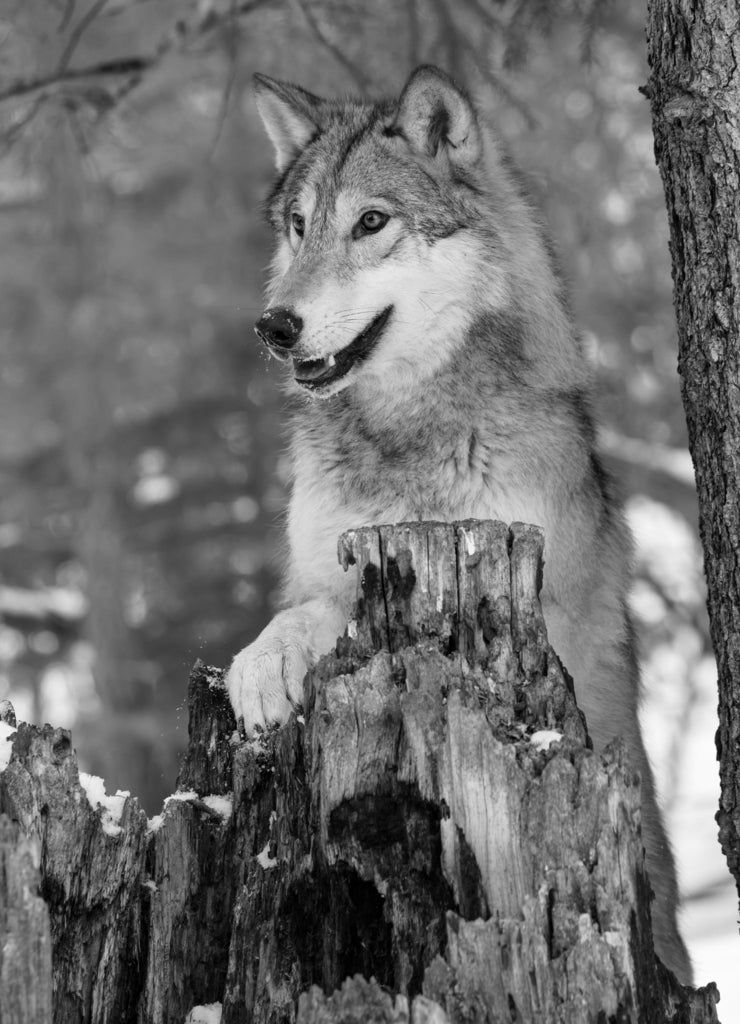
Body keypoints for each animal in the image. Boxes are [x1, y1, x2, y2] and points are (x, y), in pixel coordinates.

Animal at [226, 65, 692, 983]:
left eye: (371, 222)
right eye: (299, 226)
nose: (274, 325)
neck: (408, 435)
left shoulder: (528, 600)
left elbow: (344, 609)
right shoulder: (320, 565)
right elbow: (305, 607)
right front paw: (262, 665)